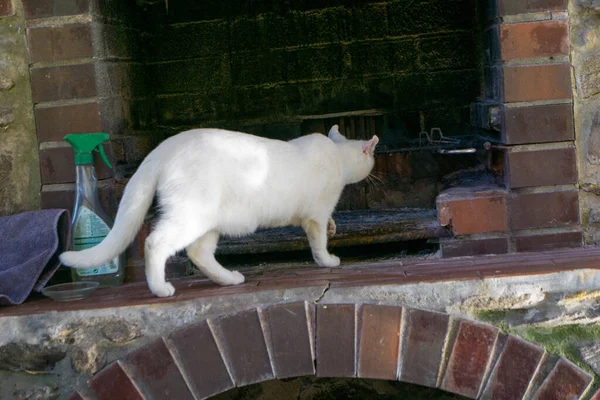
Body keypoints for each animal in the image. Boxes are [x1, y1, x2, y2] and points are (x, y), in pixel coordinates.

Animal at [58, 125, 378, 296]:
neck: (338, 156)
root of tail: (163, 148)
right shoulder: (315, 215)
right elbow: (319, 242)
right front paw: (328, 260)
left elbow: (327, 228)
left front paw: (334, 229)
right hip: (189, 215)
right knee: (155, 243)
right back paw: (160, 288)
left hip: (208, 223)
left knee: (198, 253)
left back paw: (228, 278)